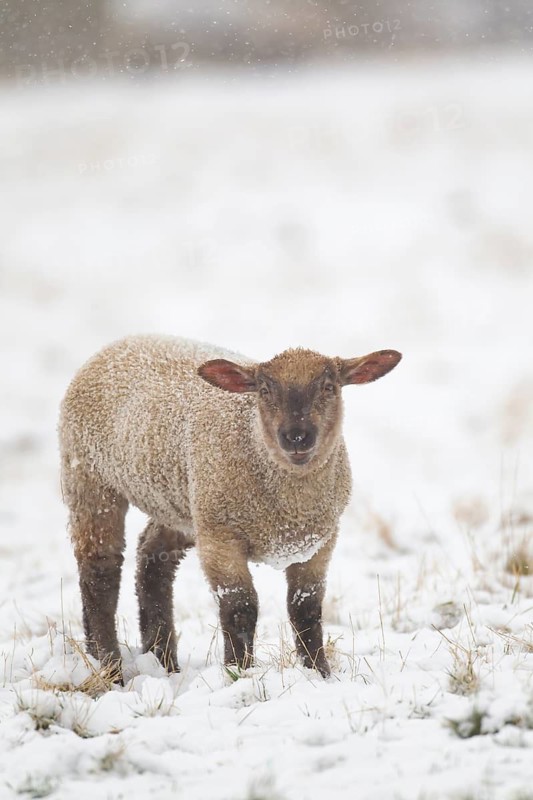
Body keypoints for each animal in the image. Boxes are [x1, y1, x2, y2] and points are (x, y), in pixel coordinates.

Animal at [59, 335, 401, 680]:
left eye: (329, 387)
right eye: (264, 390)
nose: (296, 437)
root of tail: (117, 344)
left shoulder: (319, 544)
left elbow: (306, 610)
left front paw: (319, 673)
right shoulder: (220, 540)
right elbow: (240, 608)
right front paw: (240, 672)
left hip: (183, 503)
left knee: (153, 558)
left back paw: (163, 660)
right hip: (90, 478)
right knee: (100, 569)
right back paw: (109, 666)